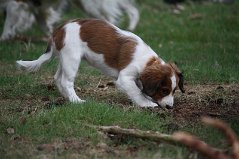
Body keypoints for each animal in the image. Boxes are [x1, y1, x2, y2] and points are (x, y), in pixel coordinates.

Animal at [0, 0, 139, 40]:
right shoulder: (38, 10)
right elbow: (45, 26)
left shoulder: (16, 3)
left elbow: (8, 22)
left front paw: (4, 38)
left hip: (91, 5)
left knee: (108, 18)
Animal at [16, 19, 185, 108]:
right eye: (164, 90)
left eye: (174, 90)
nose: (170, 107)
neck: (147, 60)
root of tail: (59, 29)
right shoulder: (124, 77)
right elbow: (136, 91)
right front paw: (146, 103)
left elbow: (140, 88)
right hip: (72, 58)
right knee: (66, 81)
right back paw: (76, 100)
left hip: (64, 59)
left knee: (57, 78)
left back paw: (66, 97)